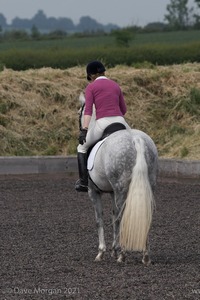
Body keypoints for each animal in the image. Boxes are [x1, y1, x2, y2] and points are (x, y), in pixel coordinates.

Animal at [78, 92, 158, 264]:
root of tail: (136, 139)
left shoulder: (93, 192)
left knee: (123, 216)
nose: (81, 133)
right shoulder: (112, 191)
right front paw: (114, 250)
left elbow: (100, 219)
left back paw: (123, 255)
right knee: (144, 216)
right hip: (147, 185)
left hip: (121, 188)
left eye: (79, 112)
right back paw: (145, 255)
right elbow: (113, 216)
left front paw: (102, 252)